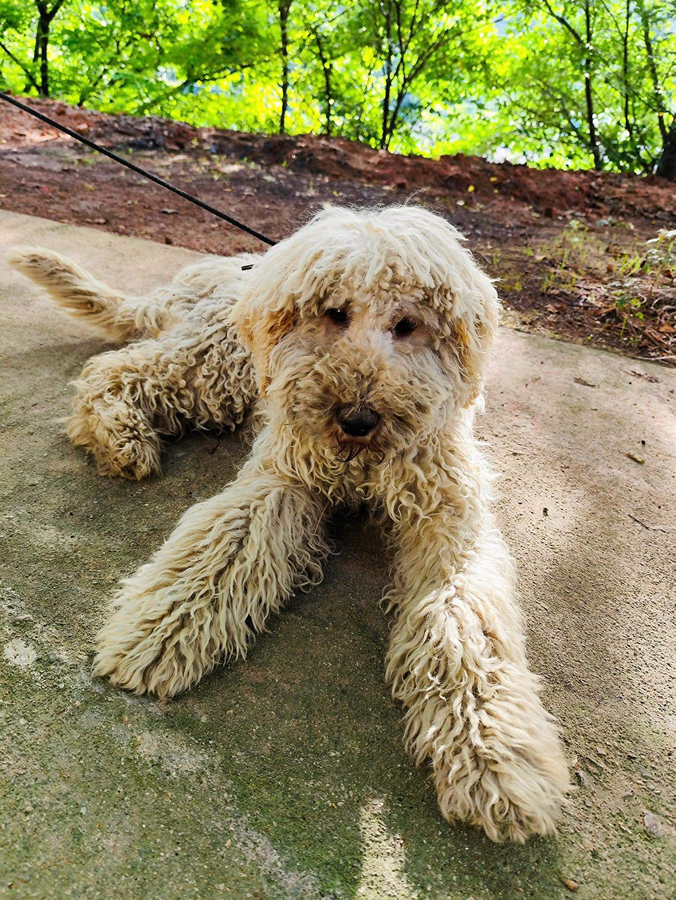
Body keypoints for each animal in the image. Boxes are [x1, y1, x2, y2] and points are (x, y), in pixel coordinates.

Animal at [10, 206, 572, 844]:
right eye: (335, 313)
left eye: (407, 324)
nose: (357, 418)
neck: (362, 461)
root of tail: (214, 271)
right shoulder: (283, 477)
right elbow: (225, 545)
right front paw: (162, 631)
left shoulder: (446, 518)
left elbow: (463, 625)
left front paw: (493, 755)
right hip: (216, 367)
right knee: (115, 368)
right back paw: (120, 436)